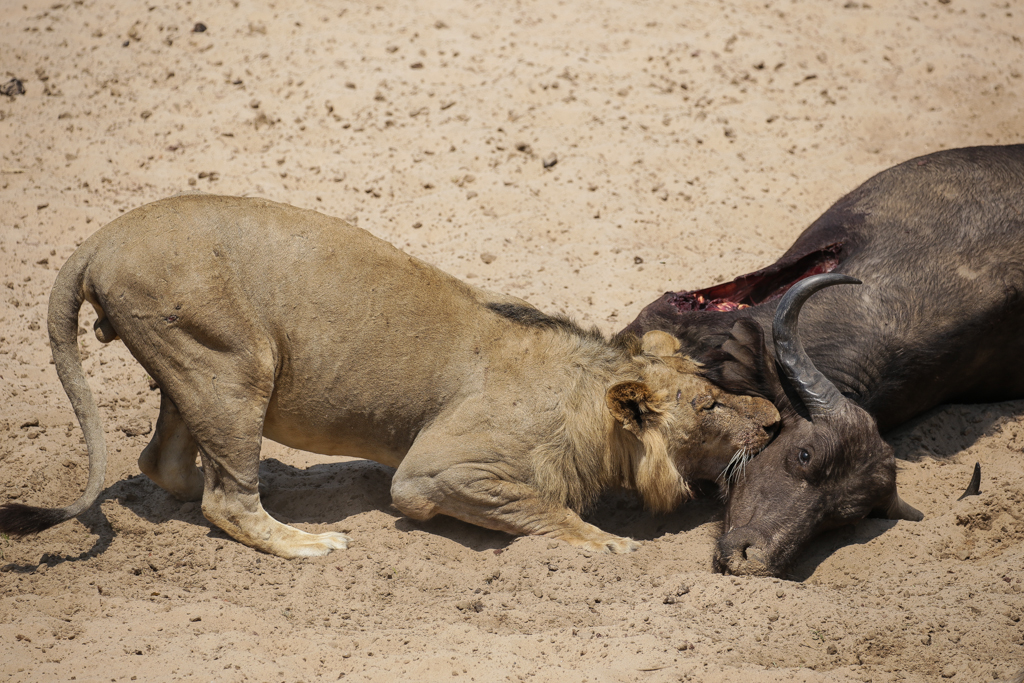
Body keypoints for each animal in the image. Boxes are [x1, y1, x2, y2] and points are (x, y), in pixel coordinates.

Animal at [0, 194, 774, 557]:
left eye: (720, 389)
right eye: (709, 406)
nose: (772, 422)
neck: (587, 392)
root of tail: (101, 237)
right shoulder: (436, 472)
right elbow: (547, 508)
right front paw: (606, 542)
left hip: (195, 363)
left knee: (166, 464)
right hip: (232, 362)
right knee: (227, 500)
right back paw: (303, 537)